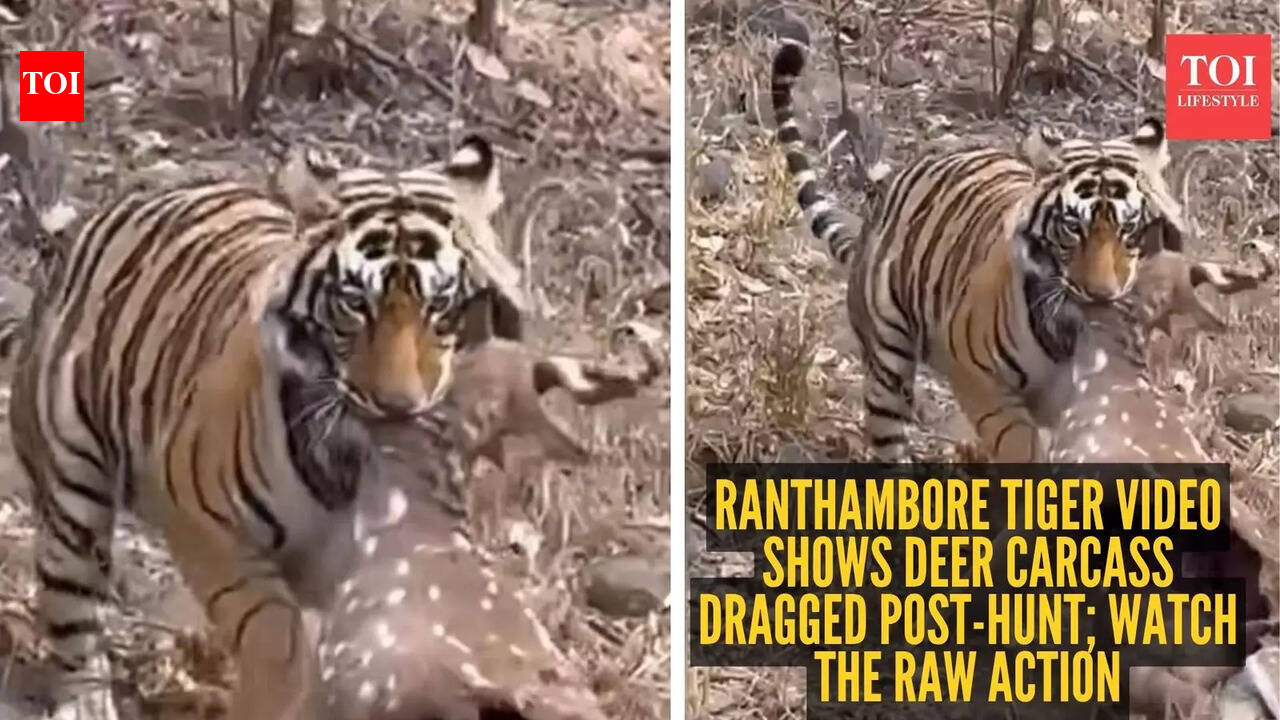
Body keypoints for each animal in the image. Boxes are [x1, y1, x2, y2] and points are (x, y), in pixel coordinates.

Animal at [9, 135, 520, 720]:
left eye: (440, 304)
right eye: (354, 303)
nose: (397, 406)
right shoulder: (205, 523)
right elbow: (276, 639)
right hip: (71, 486)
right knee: (73, 607)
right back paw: (86, 700)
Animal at [769, 42, 1187, 462]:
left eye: (1129, 228)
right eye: (1073, 228)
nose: (1101, 294)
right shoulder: (977, 376)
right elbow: (1020, 446)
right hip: (887, 362)